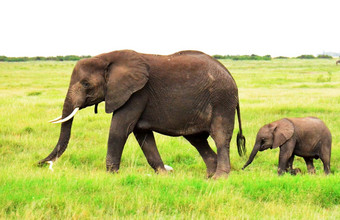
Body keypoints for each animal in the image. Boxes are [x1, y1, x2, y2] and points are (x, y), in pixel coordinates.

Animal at [37, 49, 244, 179]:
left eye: (86, 84)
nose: (40, 164)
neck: (107, 58)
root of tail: (230, 75)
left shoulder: (136, 93)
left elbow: (119, 128)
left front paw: (111, 175)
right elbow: (143, 135)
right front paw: (164, 175)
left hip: (222, 101)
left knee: (220, 136)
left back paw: (219, 178)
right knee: (197, 140)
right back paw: (209, 176)